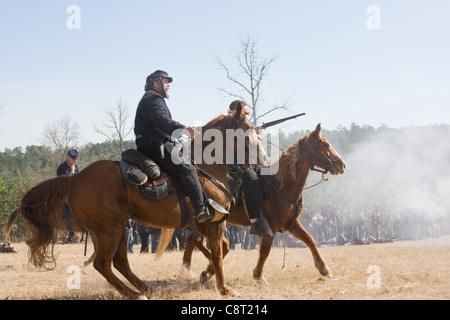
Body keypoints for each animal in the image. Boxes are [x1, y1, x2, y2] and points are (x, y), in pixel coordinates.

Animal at [6, 102, 260, 300]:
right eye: (247, 128)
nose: (260, 158)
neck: (207, 167)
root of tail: (76, 178)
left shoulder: (205, 225)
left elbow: (219, 249)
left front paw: (204, 275)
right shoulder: (215, 223)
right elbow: (217, 254)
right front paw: (224, 288)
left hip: (117, 228)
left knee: (119, 262)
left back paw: (145, 288)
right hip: (109, 229)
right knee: (103, 264)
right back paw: (136, 293)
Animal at [176, 124, 344, 284]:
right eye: (325, 144)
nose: (341, 165)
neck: (281, 185)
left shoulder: (290, 223)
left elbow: (310, 240)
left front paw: (324, 268)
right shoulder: (272, 224)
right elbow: (265, 250)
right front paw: (259, 275)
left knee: (193, 242)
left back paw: (191, 271)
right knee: (198, 242)